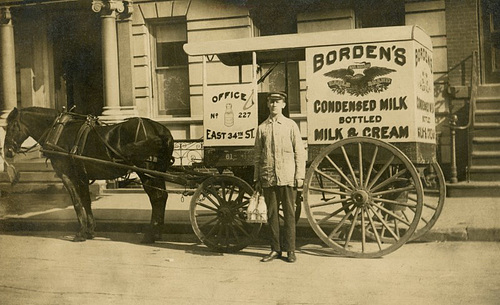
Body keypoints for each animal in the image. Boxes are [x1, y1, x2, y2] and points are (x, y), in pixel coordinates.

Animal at [3, 107, 175, 242]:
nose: (7, 151)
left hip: (146, 171)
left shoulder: (67, 175)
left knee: (156, 197)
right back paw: (157, 233)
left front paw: (81, 233)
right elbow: (86, 201)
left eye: (11, 127)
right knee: (162, 197)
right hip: (157, 172)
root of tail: (162, 131)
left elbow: (77, 202)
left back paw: (151, 234)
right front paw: (90, 230)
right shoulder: (82, 176)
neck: (58, 130)